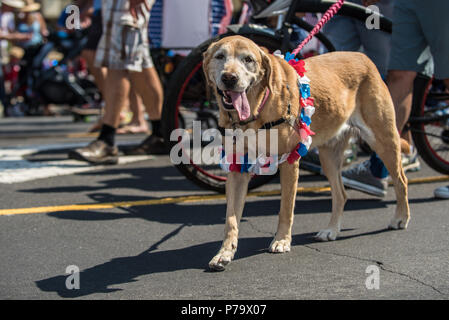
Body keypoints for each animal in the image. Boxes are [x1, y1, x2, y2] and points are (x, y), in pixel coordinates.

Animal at [203, 35, 410, 270]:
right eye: (220, 56)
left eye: (248, 59)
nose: (229, 78)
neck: (256, 113)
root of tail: (363, 57)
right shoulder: (238, 169)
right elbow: (231, 219)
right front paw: (224, 253)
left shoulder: (289, 161)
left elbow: (286, 207)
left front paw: (282, 240)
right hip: (329, 157)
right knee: (341, 194)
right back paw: (332, 230)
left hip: (383, 139)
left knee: (401, 180)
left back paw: (400, 218)